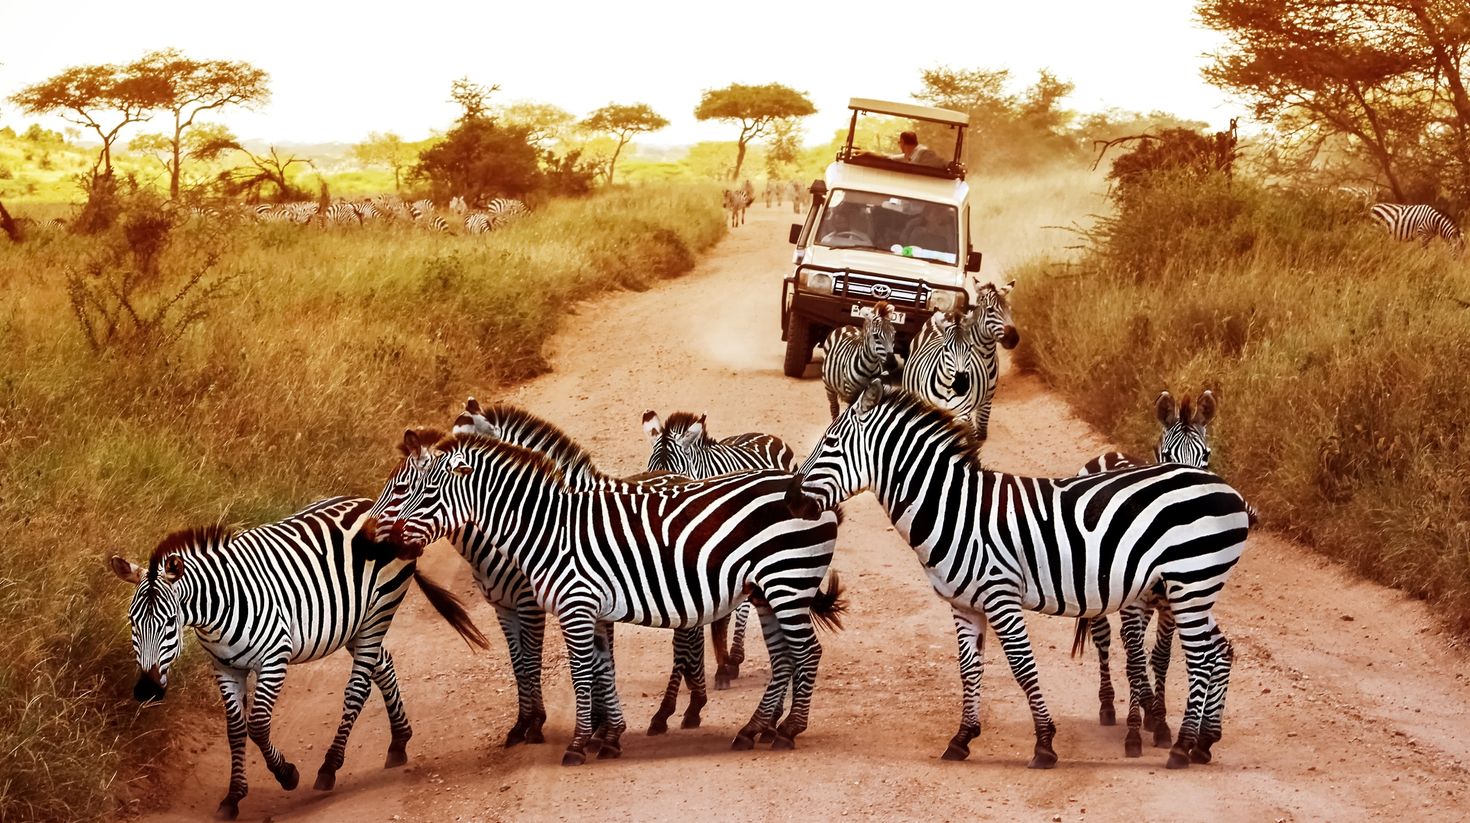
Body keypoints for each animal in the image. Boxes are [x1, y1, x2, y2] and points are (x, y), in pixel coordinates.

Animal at [107, 496, 487, 820]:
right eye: (132, 622)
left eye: (169, 623)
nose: (146, 691)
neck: (216, 611)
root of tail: (369, 503)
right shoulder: (225, 668)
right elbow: (235, 730)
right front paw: (232, 798)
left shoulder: (274, 659)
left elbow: (258, 725)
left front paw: (287, 774)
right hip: (354, 624)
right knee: (384, 665)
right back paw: (398, 741)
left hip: (378, 614)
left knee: (358, 688)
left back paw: (330, 766)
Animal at [792, 380, 1251, 769]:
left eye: (830, 443)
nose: (793, 498)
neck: (955, 511)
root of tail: (1225, 488)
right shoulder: (964, 604)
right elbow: (969, 669)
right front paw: (961, 739)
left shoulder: (1001, 596)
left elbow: (1023, 668)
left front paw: (1044, 744)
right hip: (1194, 588)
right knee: (1221, 650)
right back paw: (1204, 742)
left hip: (1189, 583)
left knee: (1201, 657)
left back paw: (1181, 747)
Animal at [900, 280, 1018, 441]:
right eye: (990, 310)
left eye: (1010, 310)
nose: (1014, 338)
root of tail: (948, 311)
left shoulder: (986, 401)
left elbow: (979, 432)